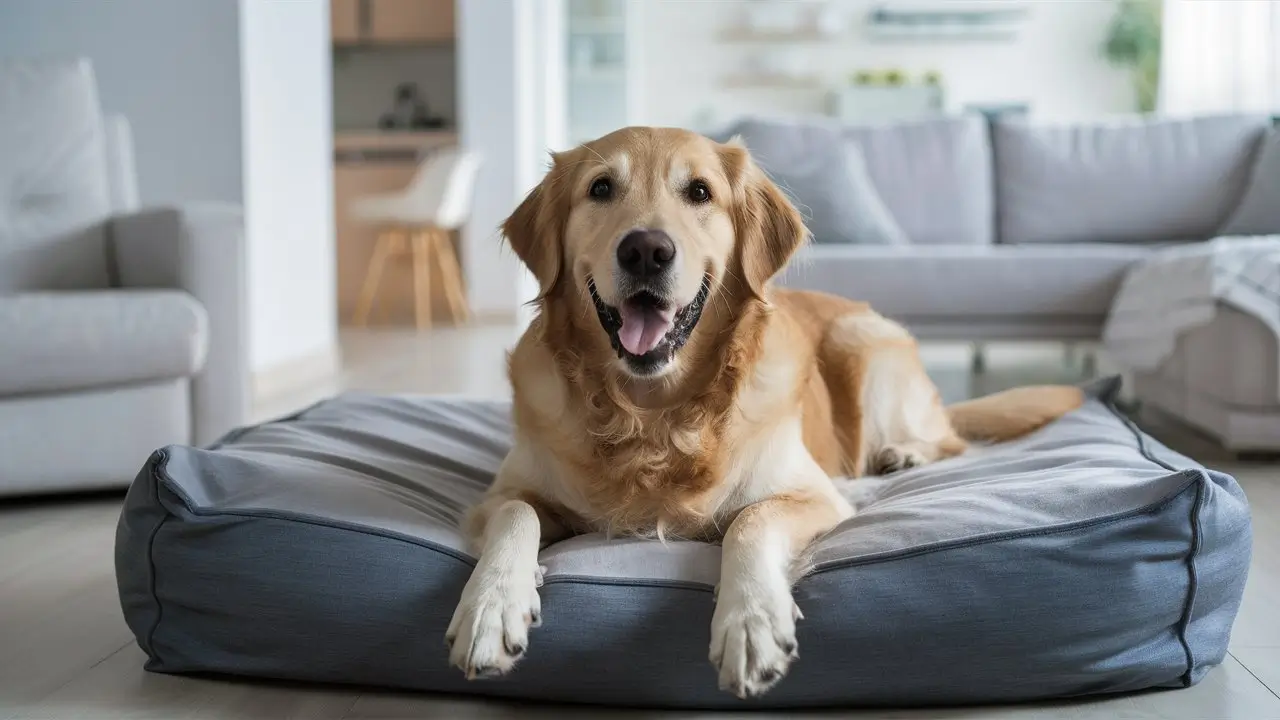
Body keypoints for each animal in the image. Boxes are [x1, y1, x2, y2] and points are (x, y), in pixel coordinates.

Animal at [445, 127, 1085, 696]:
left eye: (699, 191)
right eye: (600, 188)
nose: (647, 250)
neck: (654, 415)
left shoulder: (812, 496)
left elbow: (750, 521)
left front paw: (750, 623)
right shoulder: (497, 496)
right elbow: (517, 514)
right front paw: (490, 608)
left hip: (863, 344)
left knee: (945, 439)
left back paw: (900, 455)